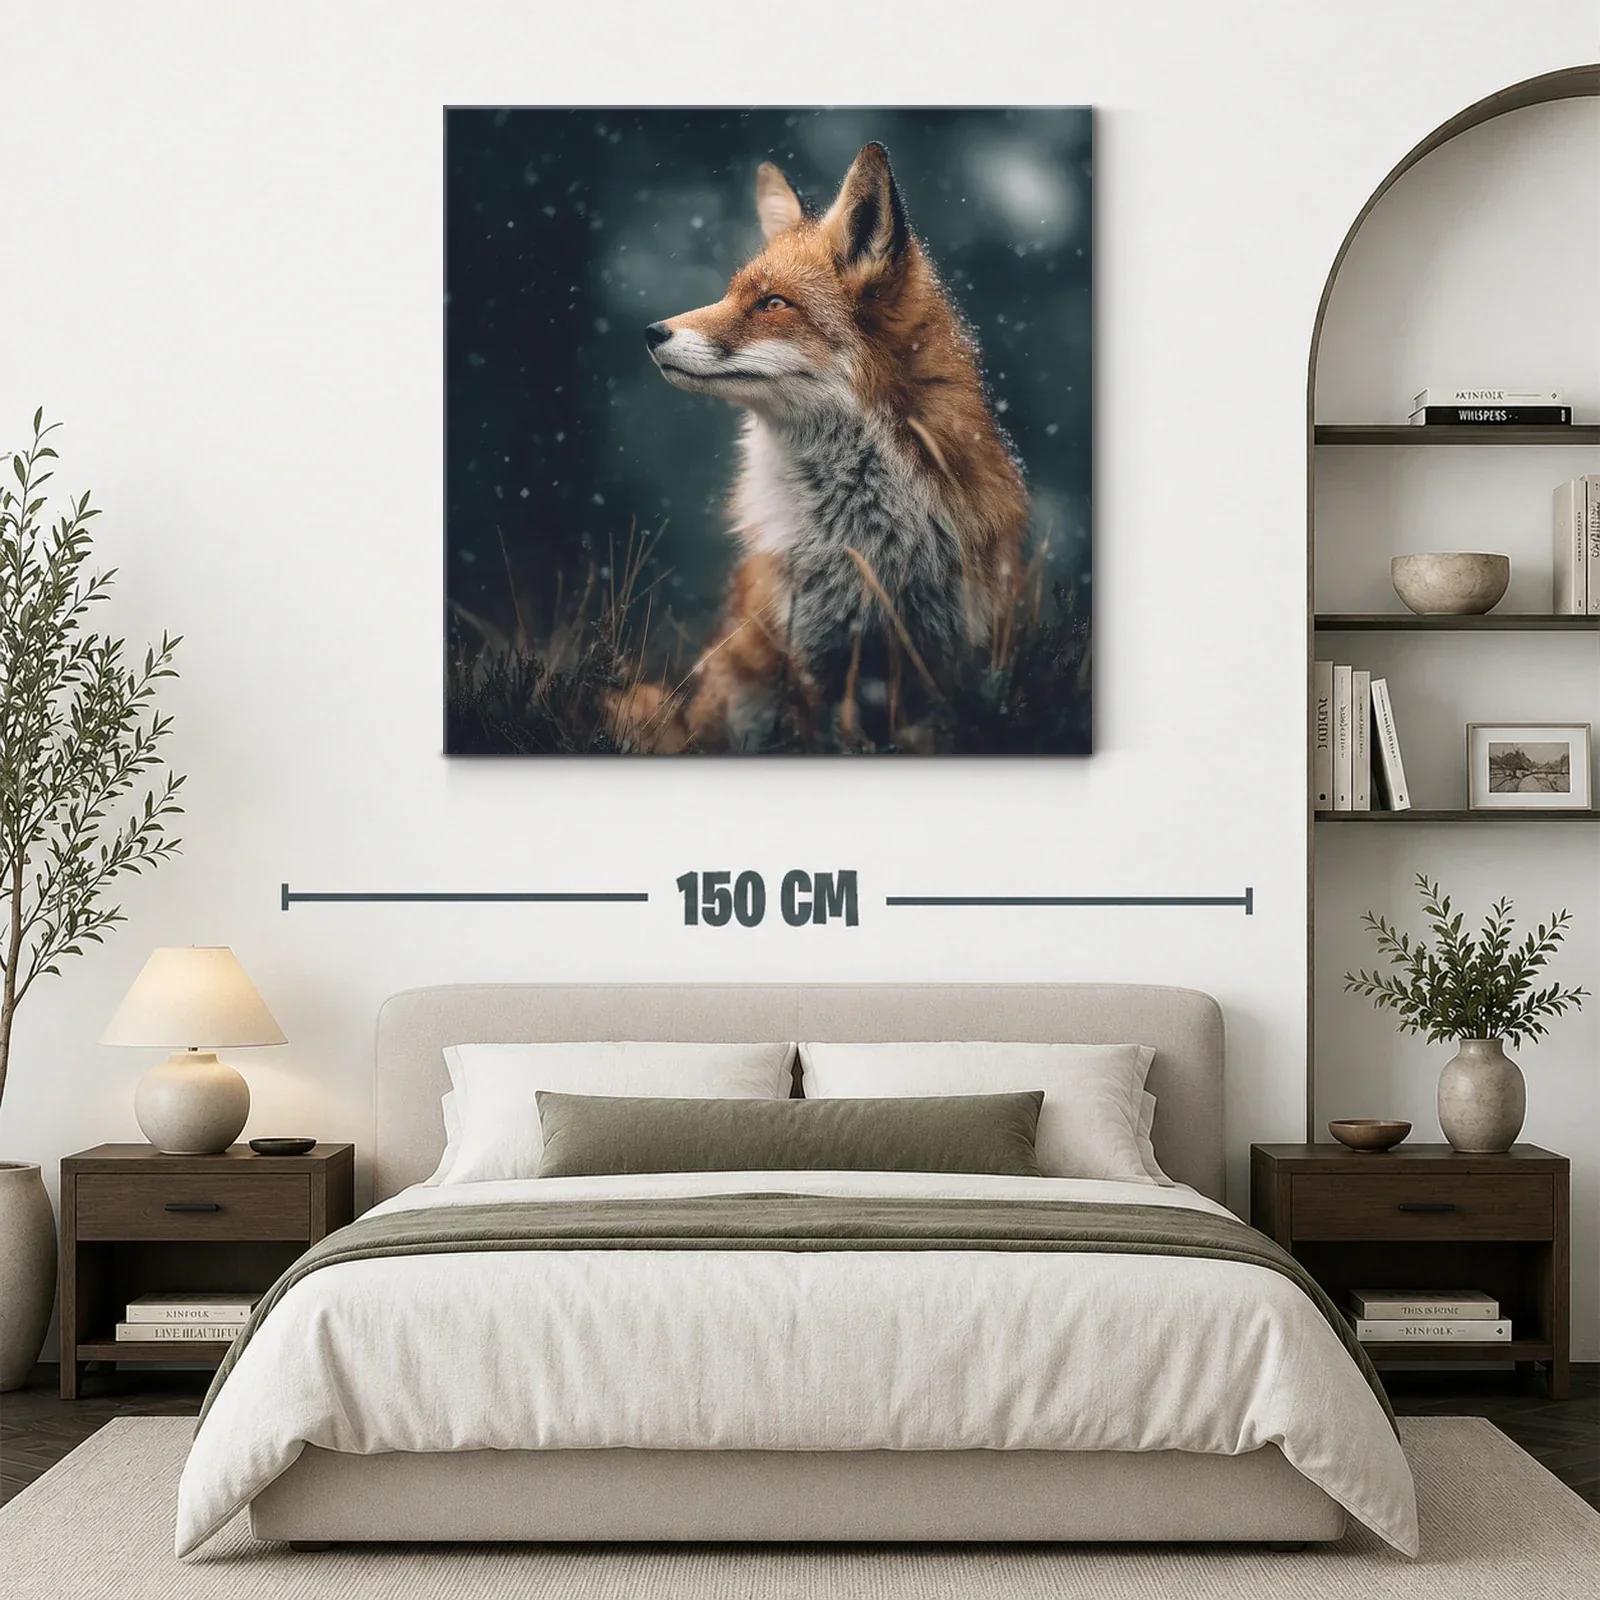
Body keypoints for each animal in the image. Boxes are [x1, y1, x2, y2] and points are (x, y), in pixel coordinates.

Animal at [637, 141, 1029, 751]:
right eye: (730, 293)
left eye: (772, 303)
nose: (652, 332)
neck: (865, 533)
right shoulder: (808, 650)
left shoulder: (944, 654)